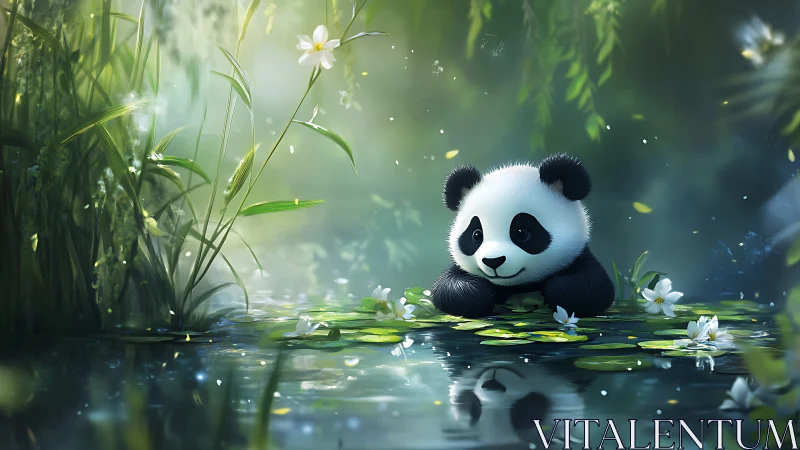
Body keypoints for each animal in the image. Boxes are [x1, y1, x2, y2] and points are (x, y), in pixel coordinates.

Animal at [431, 153, 615, 319]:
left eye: (522, 233)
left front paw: (554, 289)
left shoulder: (579, 257)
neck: (519, 287)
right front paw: (479, 292)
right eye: (476, 235)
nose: (493, 261)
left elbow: (593, 288)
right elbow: (447, 288)